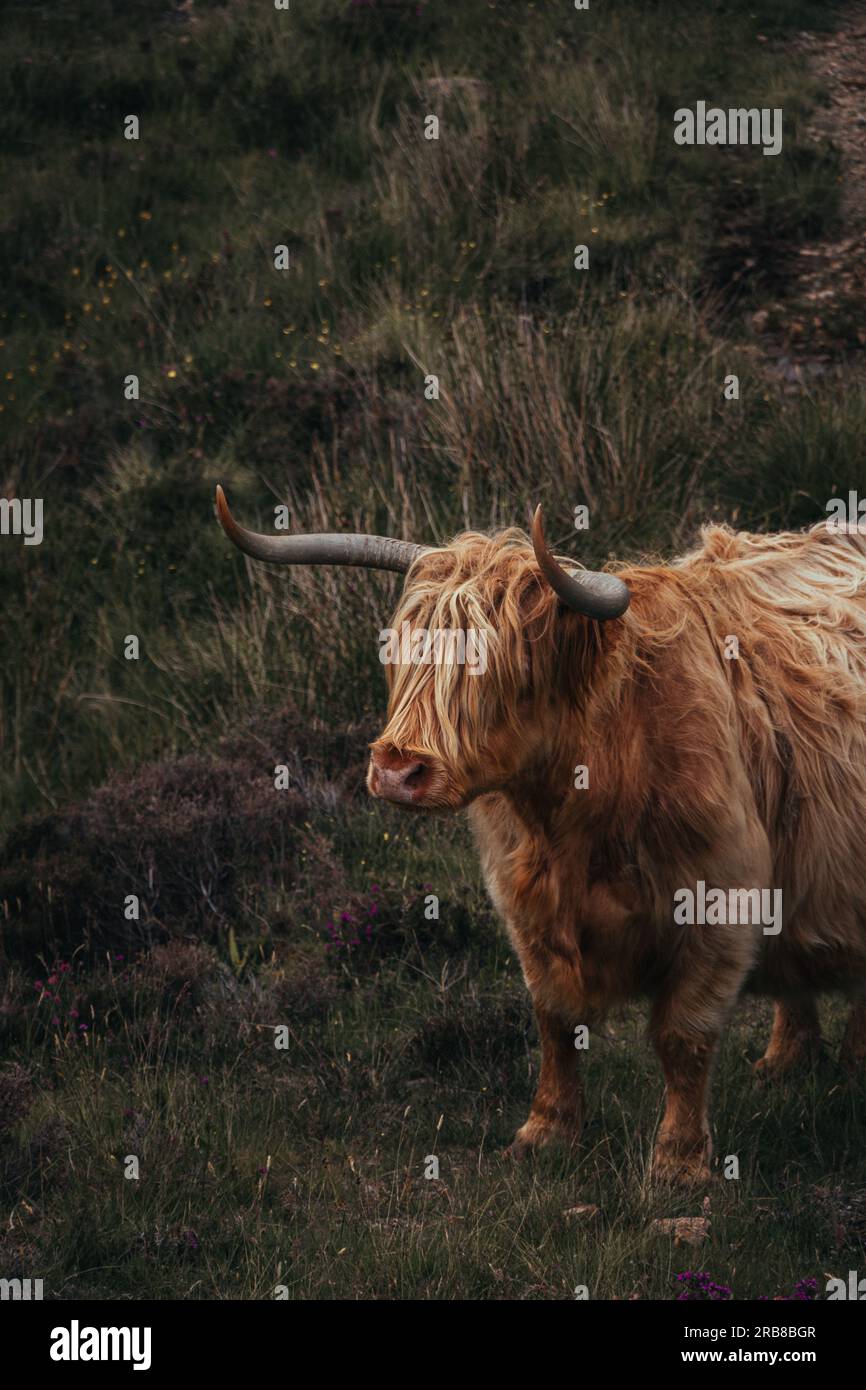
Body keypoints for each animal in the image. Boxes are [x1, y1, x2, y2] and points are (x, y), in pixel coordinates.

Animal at [216, 485, 866, 1183]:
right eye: (401, 652)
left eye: (500, 666)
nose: (396, 770)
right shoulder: (524, 902)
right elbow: (553, 1020)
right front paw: (546, 1131)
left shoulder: (720, 903)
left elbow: (682, 1036)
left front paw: (678, 1162)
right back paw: (787, 1061)